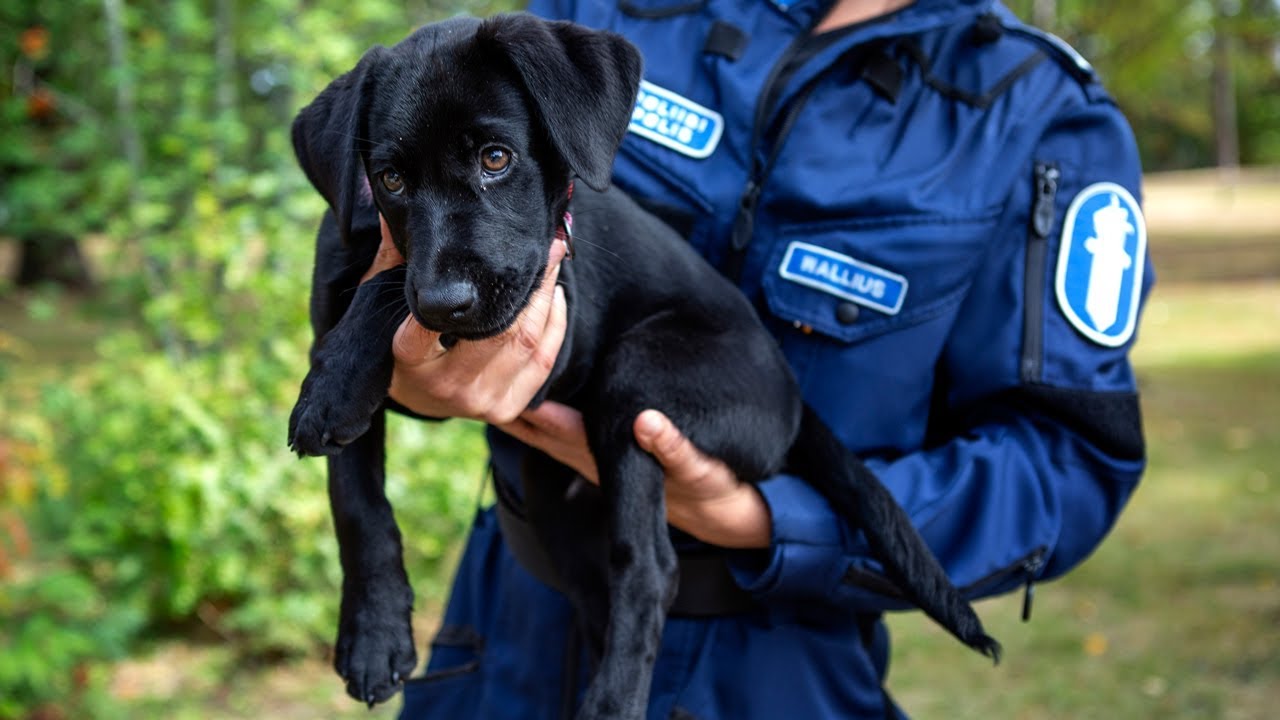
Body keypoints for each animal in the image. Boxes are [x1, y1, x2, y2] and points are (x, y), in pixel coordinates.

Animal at [290, 12, 998, 717]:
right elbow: (357, 505)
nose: (445, 304)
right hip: (555, 490)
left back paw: (613, 701)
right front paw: (375, 637)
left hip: (635, 380)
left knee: (650, 568)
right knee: (598, 584)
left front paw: (332, 382)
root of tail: (794, 401)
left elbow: (390, 284)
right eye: (390, 180)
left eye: (496, 158)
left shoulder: (554, 310)